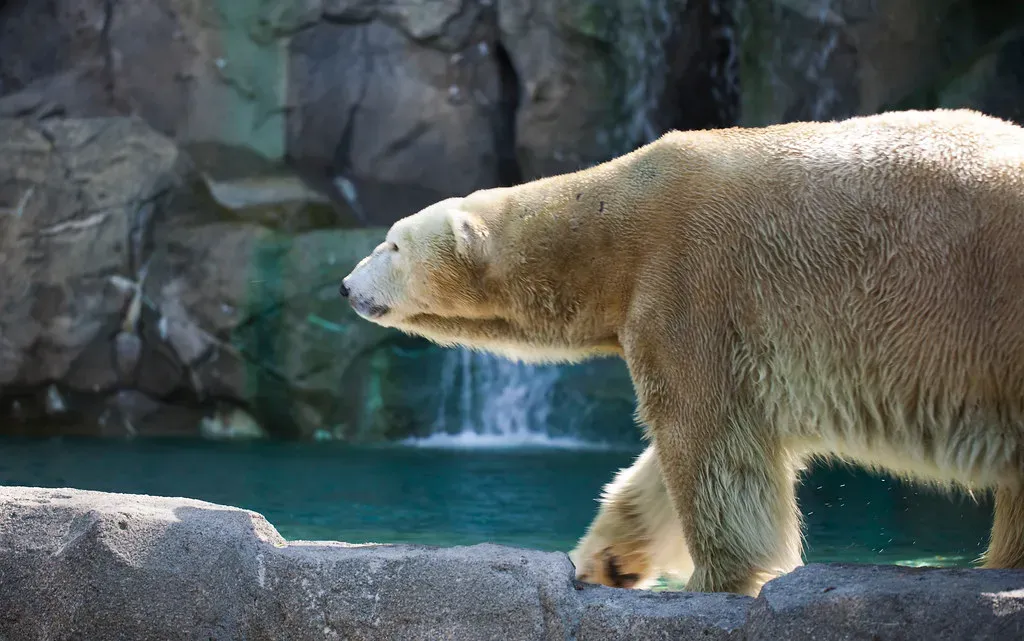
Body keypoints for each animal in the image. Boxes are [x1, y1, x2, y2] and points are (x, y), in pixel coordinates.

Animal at [340, 108, 1024, 596]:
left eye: (392, 245)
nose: (346, 285)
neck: (615, 222)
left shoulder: (692, 284)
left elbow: (706, 437)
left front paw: (715, 579)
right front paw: (609, 561)